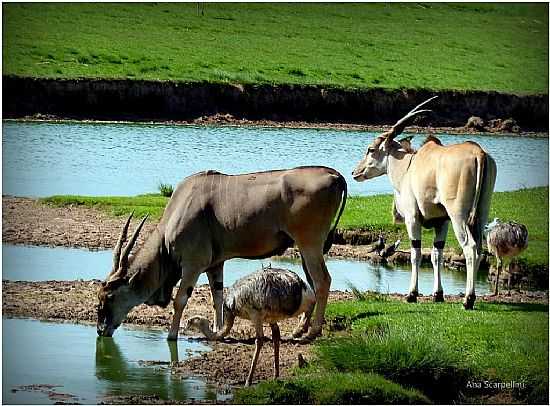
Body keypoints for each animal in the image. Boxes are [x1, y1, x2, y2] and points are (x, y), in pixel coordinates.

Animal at [97, 165, 348, 340]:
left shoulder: (193, 264)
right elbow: (217, 296)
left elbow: (180, 300)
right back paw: (299, 330)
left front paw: (171, 335)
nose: (100, 329)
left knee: (322, 280)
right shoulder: (214, 265)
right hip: (306, 248)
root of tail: (335, 175)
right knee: (312, 282)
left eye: (109, 297)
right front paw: (218, 330)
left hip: (309, 243)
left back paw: (312, 332)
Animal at [184, 266, 316, 386]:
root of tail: (300, 286)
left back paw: (302, 329)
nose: (185, 326)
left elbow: (260, 340)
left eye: (190, 320)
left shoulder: (255, 314)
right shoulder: (271, 318)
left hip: (258, 312)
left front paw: (248, 381)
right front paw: (276, 376)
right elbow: (276, 336)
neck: (230, 309)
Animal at [354, 96, 500, 310]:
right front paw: (437, 294)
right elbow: (436, 254)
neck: (408, 166)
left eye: (371, 150)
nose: (355, 172)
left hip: (458, 216)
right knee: (480, 248)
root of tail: (479, 153)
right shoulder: (442, 222)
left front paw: (412, 294)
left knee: (470, 248)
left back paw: (468, 299)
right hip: (481, 213)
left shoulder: (413, 219)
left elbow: (416, 253)